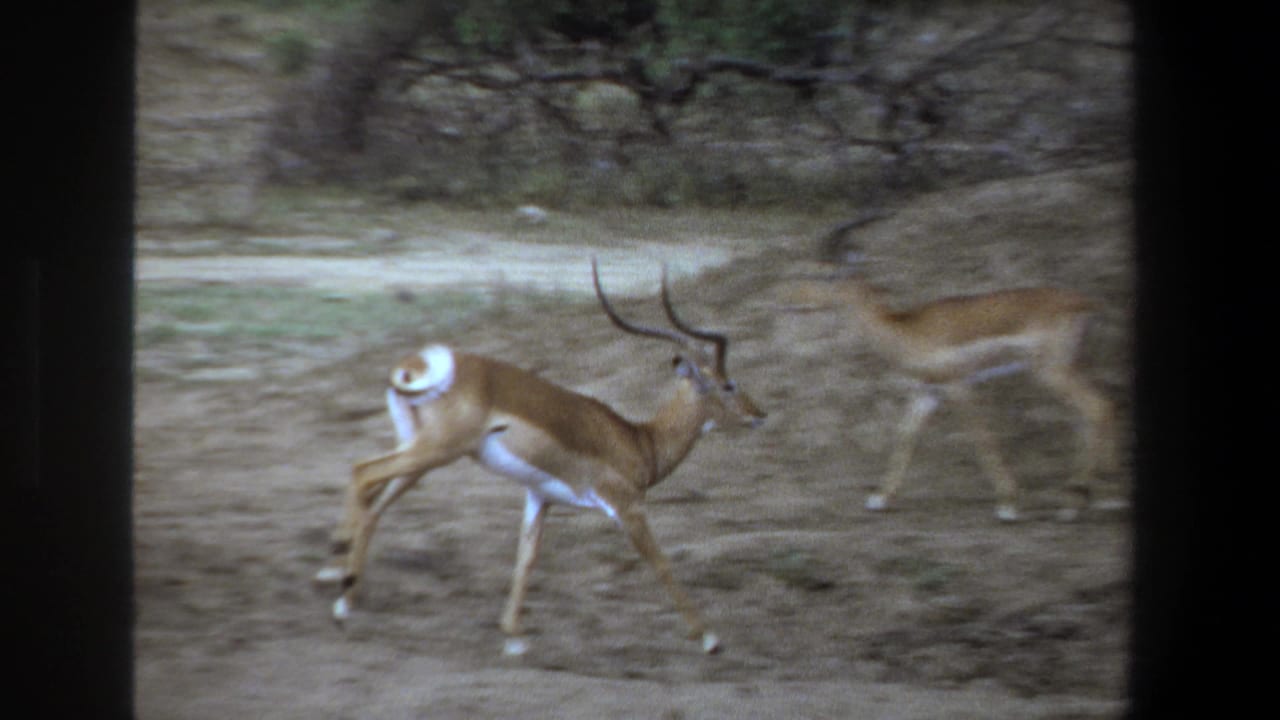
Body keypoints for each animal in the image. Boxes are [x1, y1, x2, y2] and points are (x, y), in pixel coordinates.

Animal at [314, 260, 766, 656]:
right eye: (727, 383)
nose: (759, 414)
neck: (639, 442)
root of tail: (415, 366)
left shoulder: (540, 497)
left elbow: (526, 559)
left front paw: (513, 638)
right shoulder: (628, 507)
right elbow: (660, 562)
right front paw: (710, 639)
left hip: (421, 456)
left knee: (373, 497)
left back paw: (342, 591)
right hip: (436, 451)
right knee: (363, 473)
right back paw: (338, 582)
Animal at [786, 227, 1116, 522]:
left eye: (828, 274)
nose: (793, 298)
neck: (906, 328)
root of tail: (1083, 302)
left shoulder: (959, 385)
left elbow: (981, 436)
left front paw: (1008, 505)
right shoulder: (927, 391)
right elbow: (905, 434)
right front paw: (878, 499)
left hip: (1050, 370)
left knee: (1096, 407)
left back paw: (1074, 507)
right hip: (1067, 368)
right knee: (1090, 413)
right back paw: (1093, 498)